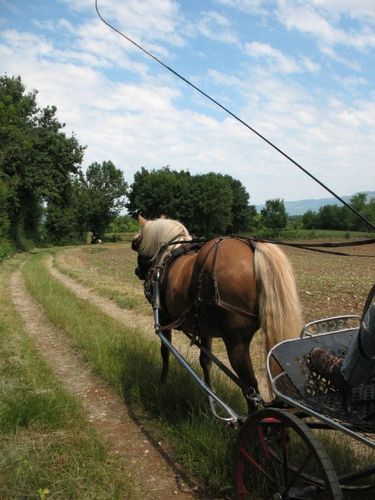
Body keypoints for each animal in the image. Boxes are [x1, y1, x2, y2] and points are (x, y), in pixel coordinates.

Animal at [131, 215, 304, 410]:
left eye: (135, 243)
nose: (138, 271)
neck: (167, 256)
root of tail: (253, 246)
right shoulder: (204, 328)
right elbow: (205, 361)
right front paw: (210, 397)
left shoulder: (163, 321)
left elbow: (165, 351)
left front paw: (162, 382)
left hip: (236, 343)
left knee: (251, 388)